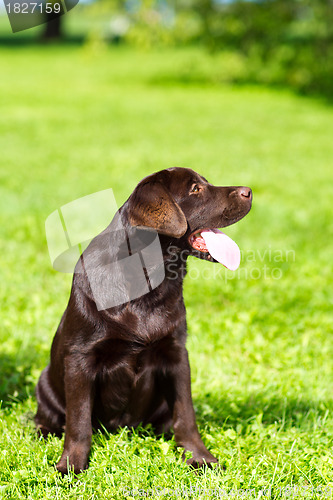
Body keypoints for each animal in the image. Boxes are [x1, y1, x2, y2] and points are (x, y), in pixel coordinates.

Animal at [35, 167, 250, 472]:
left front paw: (199, 457)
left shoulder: (176, 354)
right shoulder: (80, 358)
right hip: (44, 382)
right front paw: (71, 465)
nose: (249, 191)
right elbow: (78, 421)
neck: (147, 279)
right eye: (195, 189)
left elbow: (186, 414)